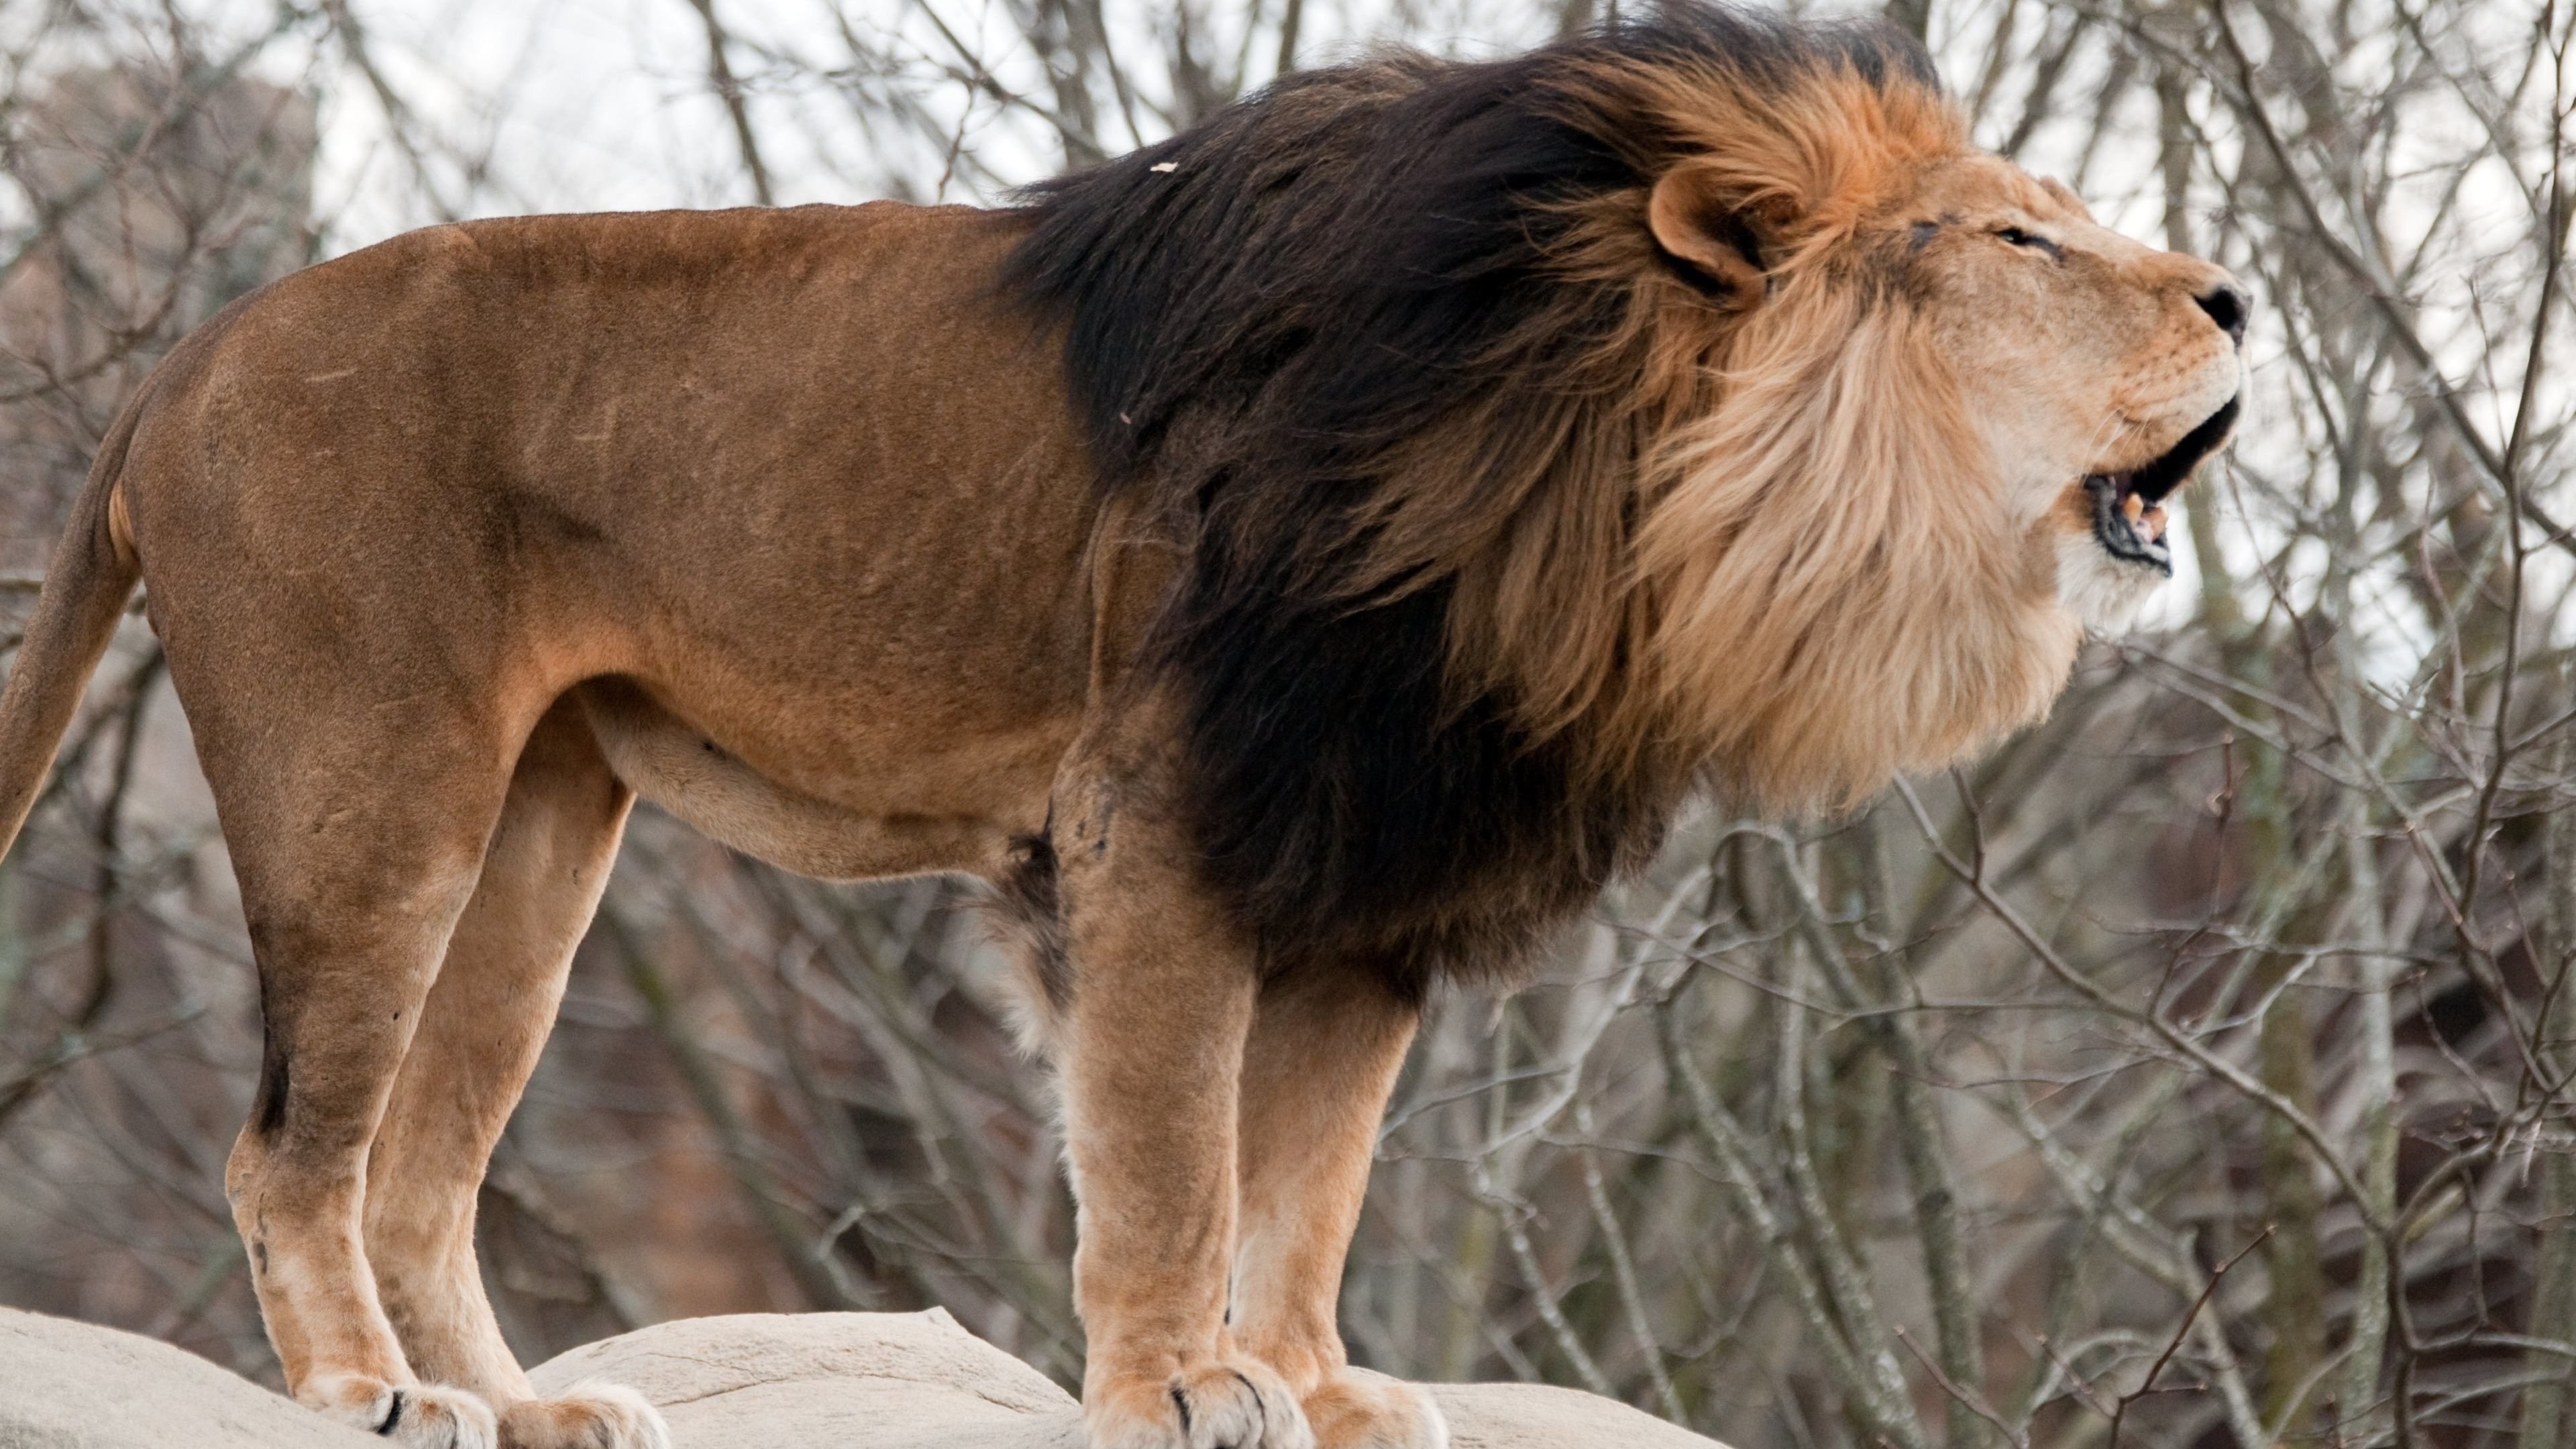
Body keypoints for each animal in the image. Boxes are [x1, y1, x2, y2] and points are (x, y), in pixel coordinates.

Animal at [0, 5, 2236, 1433]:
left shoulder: (1369, 856)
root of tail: (186, 355)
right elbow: (1170, 1150)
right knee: (289, 1150)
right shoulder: (1166, 812)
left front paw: (1310, 1384)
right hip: (375, 799)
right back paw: (368, 1396)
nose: (2235, 304)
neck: (1597, 467)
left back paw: (527, 1410)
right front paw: (1176, 1386)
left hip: (542, 828)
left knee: (415, 1168)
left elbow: (1309, 1175)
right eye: (2019, 237)